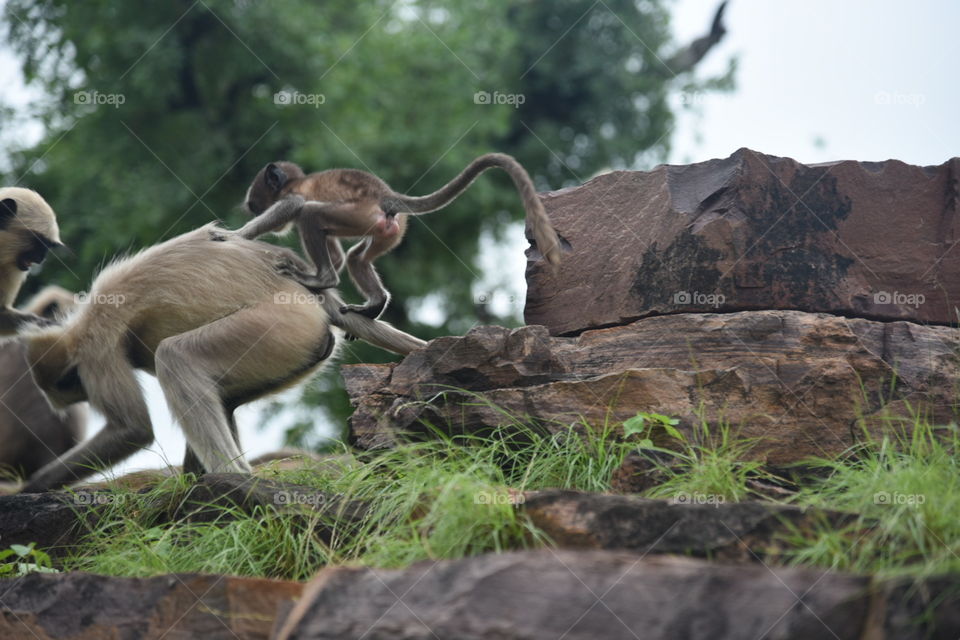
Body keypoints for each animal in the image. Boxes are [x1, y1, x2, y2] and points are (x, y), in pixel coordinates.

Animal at [18, 225, 426, 492]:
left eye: (69, 389)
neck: (79, 325)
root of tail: (312, 298)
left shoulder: (94, 349)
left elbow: (133, 429)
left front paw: (30, 487)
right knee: (221, 397)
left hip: (281, 325)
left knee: (175, 357)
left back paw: (230, 478)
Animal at [237, 152, 563, 320]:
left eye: (256, 206)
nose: (253, 212)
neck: (296, 181)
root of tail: (386, 196)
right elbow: (340, 255)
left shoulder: (291, 194)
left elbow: (295, 206)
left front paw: (237, 234)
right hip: (389, 230)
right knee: (356, 258)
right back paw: (375, 303)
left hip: (361, 213)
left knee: (310, 214)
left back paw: (324, 279)